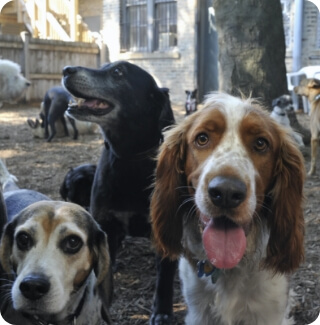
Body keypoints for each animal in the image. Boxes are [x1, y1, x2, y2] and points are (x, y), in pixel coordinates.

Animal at [62, 61, 178, 324]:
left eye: (118, 72)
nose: (66, 69)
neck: (129, 159)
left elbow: (164, 279)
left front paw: (163, 312)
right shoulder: (106, 223)